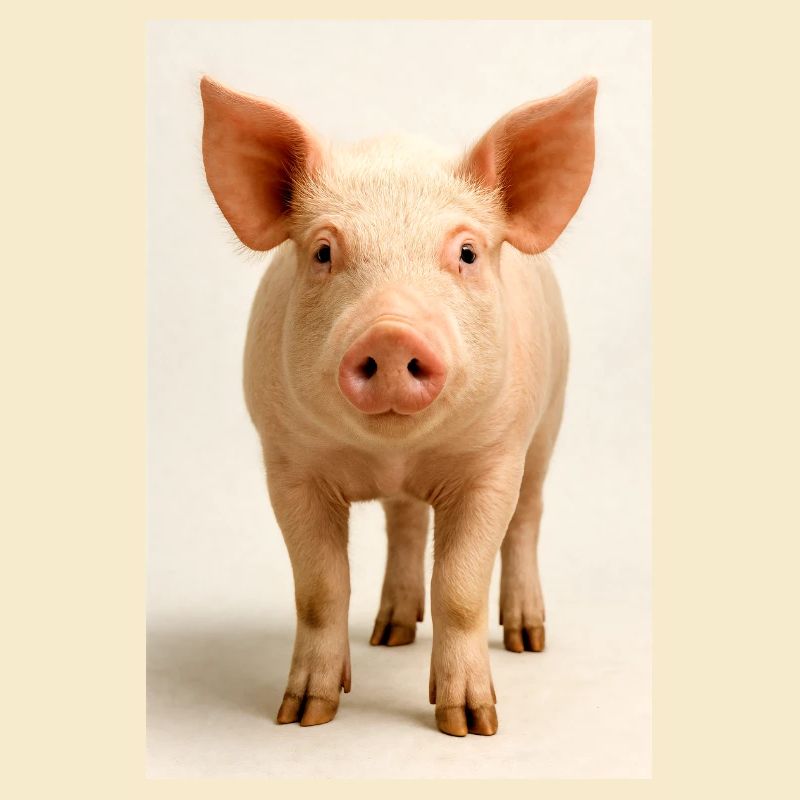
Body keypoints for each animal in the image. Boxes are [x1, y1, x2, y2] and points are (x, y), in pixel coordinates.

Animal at [200, 74, 597, 737]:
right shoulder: (287, 463)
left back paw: (526, 639)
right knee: (406, 522)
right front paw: (303, 716)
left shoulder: (494, 461)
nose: (390, 333)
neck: (395, 453)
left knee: (527, 519)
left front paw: (472, 725)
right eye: (323, 252)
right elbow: (319, 588)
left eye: (466, 253)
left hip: (551, 419)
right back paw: (389, 635)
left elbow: (460, 586)